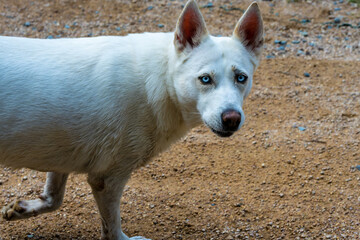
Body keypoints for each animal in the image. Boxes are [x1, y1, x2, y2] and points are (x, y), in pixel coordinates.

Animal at [0, 0, 264, 239]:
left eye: (241, 78)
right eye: (205, 79)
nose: (232, 118)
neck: (161, 81)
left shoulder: (61, 156)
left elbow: (53, 199)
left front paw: (22, 209)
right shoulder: (107, 179)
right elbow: (112, 230)